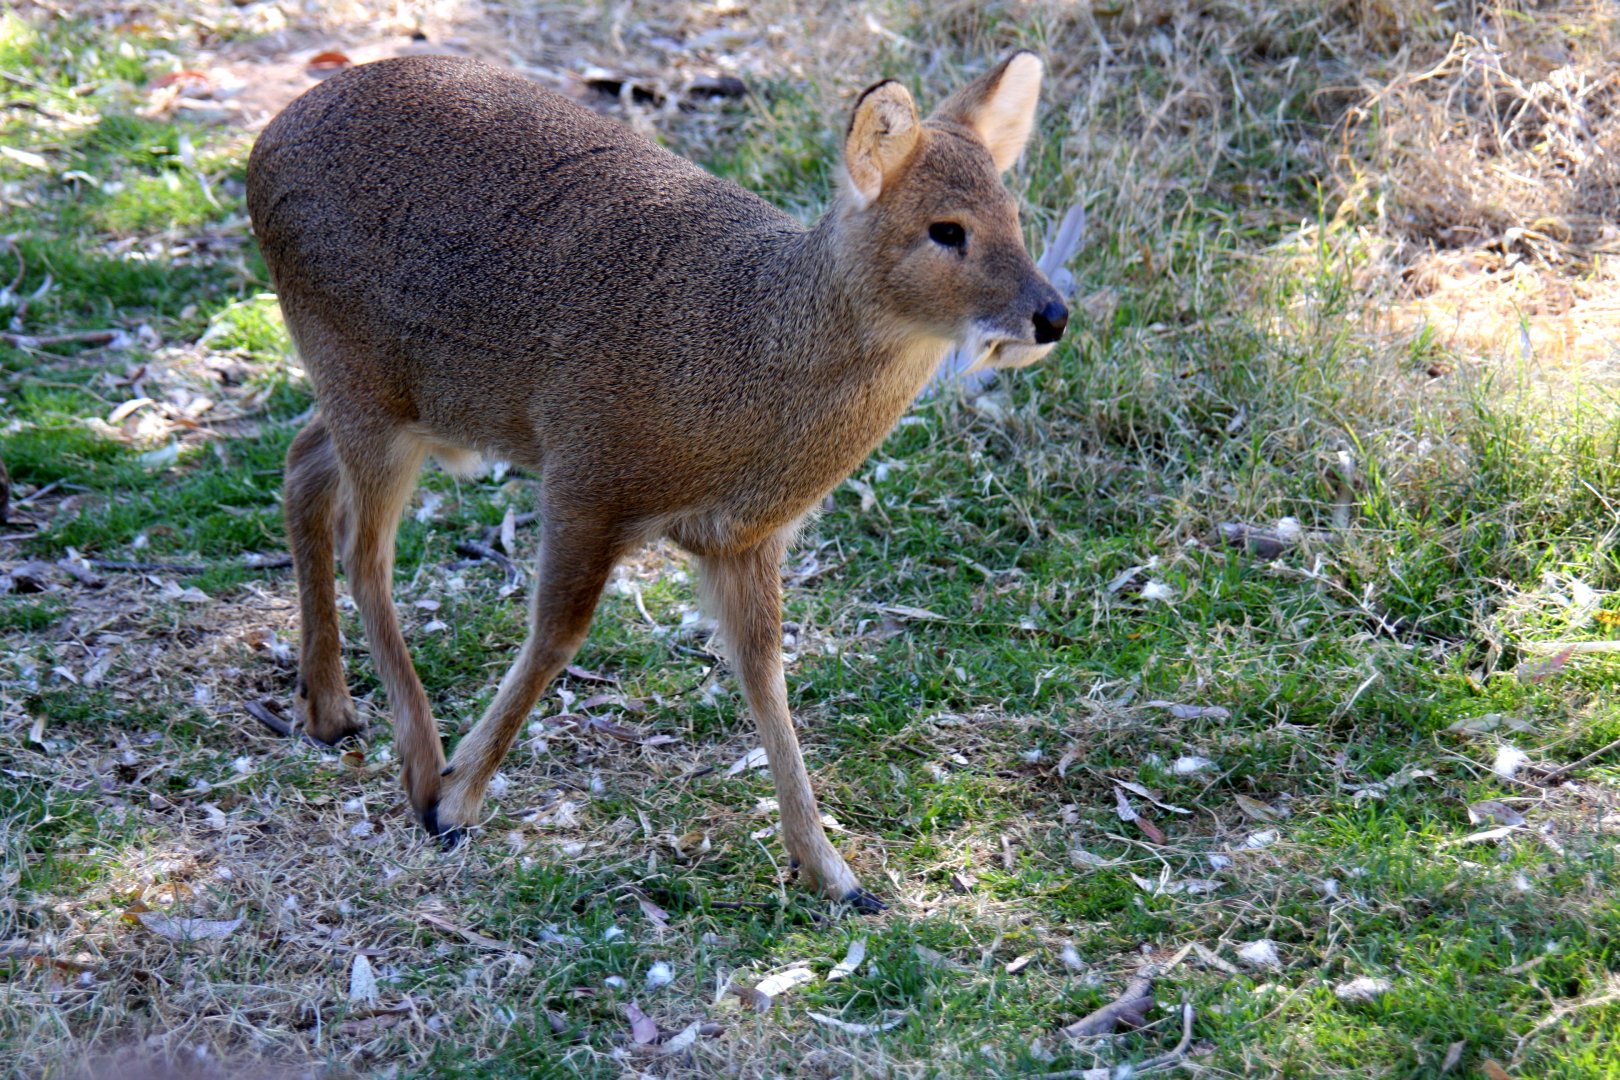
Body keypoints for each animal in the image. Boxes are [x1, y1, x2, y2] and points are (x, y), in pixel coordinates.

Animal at [246, 50, 1068, 909]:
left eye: (1013, 214)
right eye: (945, 229)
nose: (1052, 314)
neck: (741, 357)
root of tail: (268, 140)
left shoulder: (745, 539)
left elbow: (765, 673)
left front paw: (835, 873)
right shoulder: (587, 470)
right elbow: (557, 633)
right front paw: (457, 797)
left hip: (389, 401)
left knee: (304, 465)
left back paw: (328, 709)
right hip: (363, 381)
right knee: (365, 551)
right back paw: (417, 763)